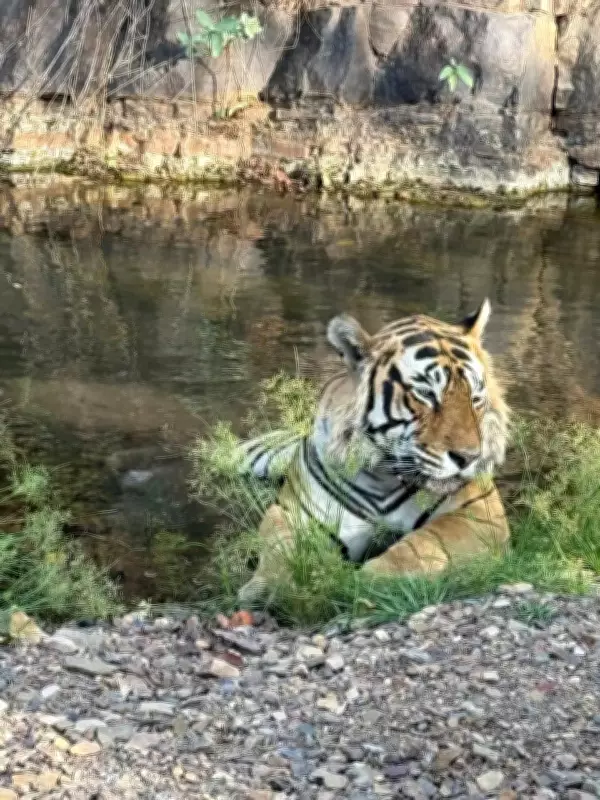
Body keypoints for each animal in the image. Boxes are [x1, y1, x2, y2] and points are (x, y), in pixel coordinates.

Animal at [235, 299, 510, 604]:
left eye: (475, 398)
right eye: (427, 394)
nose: (470, 457)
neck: (383, 473)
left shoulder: (481, 512)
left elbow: (421, 545)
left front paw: (360, 583)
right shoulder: (294, 511)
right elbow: (281, 545)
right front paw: (267, 587)